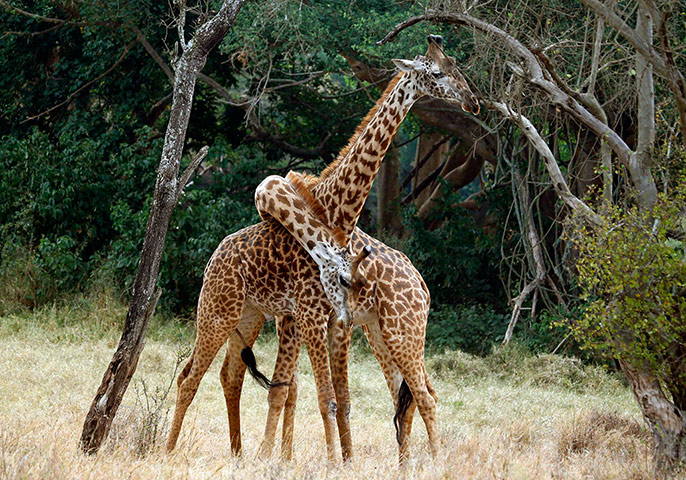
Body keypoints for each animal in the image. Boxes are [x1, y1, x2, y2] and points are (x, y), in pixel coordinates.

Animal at [165, 34, 479, 462]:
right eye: (437, 73)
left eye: (456, 67)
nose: (473, 102)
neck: (336, 211)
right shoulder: (312, 314)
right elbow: (320, 396)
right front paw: (326, 461)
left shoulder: (328, 319)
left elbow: (322, 396)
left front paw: (321, 459)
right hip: (220, 311)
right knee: (190, 377)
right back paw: (171, 452)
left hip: (278, 319)